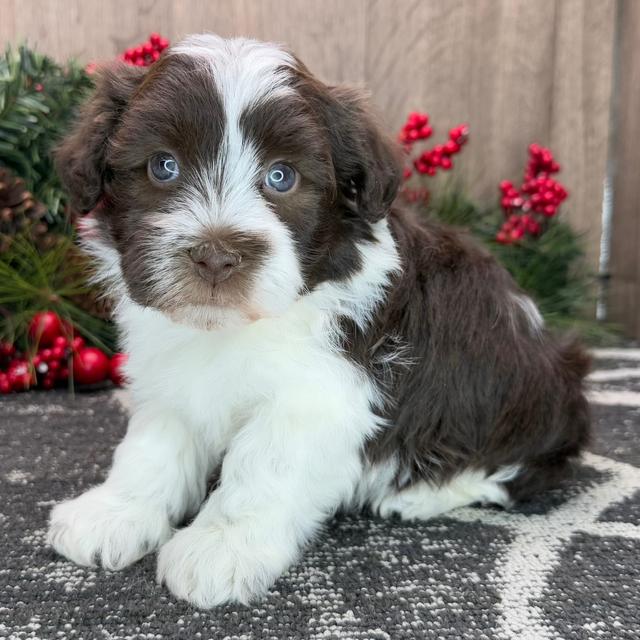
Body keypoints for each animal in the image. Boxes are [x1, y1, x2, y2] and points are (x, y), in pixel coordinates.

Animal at [46, 33, 592, 604]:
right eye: (163, 166)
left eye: (281, 177)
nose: (216, 257)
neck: (234, 328)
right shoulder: (172, 377)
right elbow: (152, 446)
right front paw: (115, 513)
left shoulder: (321, 393)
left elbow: (263, 465)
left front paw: (221, 548)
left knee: (518, 469)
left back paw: (420, 493)